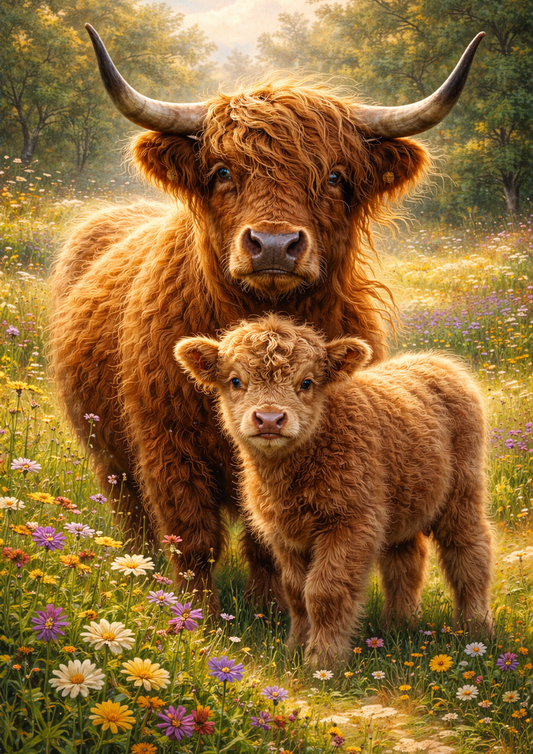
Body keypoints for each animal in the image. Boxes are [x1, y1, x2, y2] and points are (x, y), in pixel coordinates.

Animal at [50, 25, 484, 611]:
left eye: (335, 177)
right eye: (222, 172)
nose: (274, 245)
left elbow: (264, 540)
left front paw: (271, 610)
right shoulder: (166, 445)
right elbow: (192, 539)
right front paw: (198, 617)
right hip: (109, 453)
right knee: (135, 517)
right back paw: (138, 572)